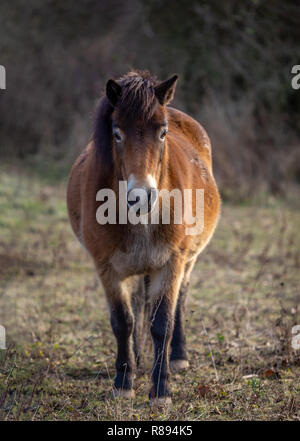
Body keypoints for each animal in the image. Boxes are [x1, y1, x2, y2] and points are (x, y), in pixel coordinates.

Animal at [67, 70, 220, 404]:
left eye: (162, 133)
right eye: (117, 133)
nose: (141, 196)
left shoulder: (171, 263)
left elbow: (162, 323)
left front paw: (160, 390)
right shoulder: (107, 268)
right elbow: (123, 321)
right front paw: (123, 382)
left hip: (187, 261)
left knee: (180, 300)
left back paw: (178, 357)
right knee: (137, 307)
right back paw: (136, 359)